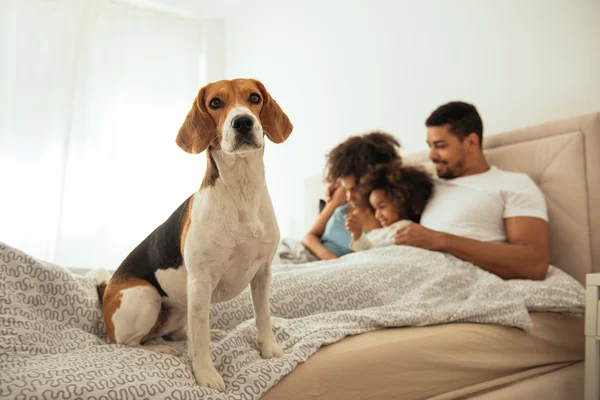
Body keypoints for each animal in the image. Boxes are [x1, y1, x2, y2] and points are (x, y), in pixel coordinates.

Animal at [98, 78, 292, 390]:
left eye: (254, 98)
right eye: (215, 103)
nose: (243, 122)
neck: (241, 190)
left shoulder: (263, 273)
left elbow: (262, 315)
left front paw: (268, 349)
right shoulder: (201, 282)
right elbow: (199, 342)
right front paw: (206, 375)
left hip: (179, 307)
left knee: (179, 333)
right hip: (145, 296)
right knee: (127, 343)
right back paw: (161, 350)